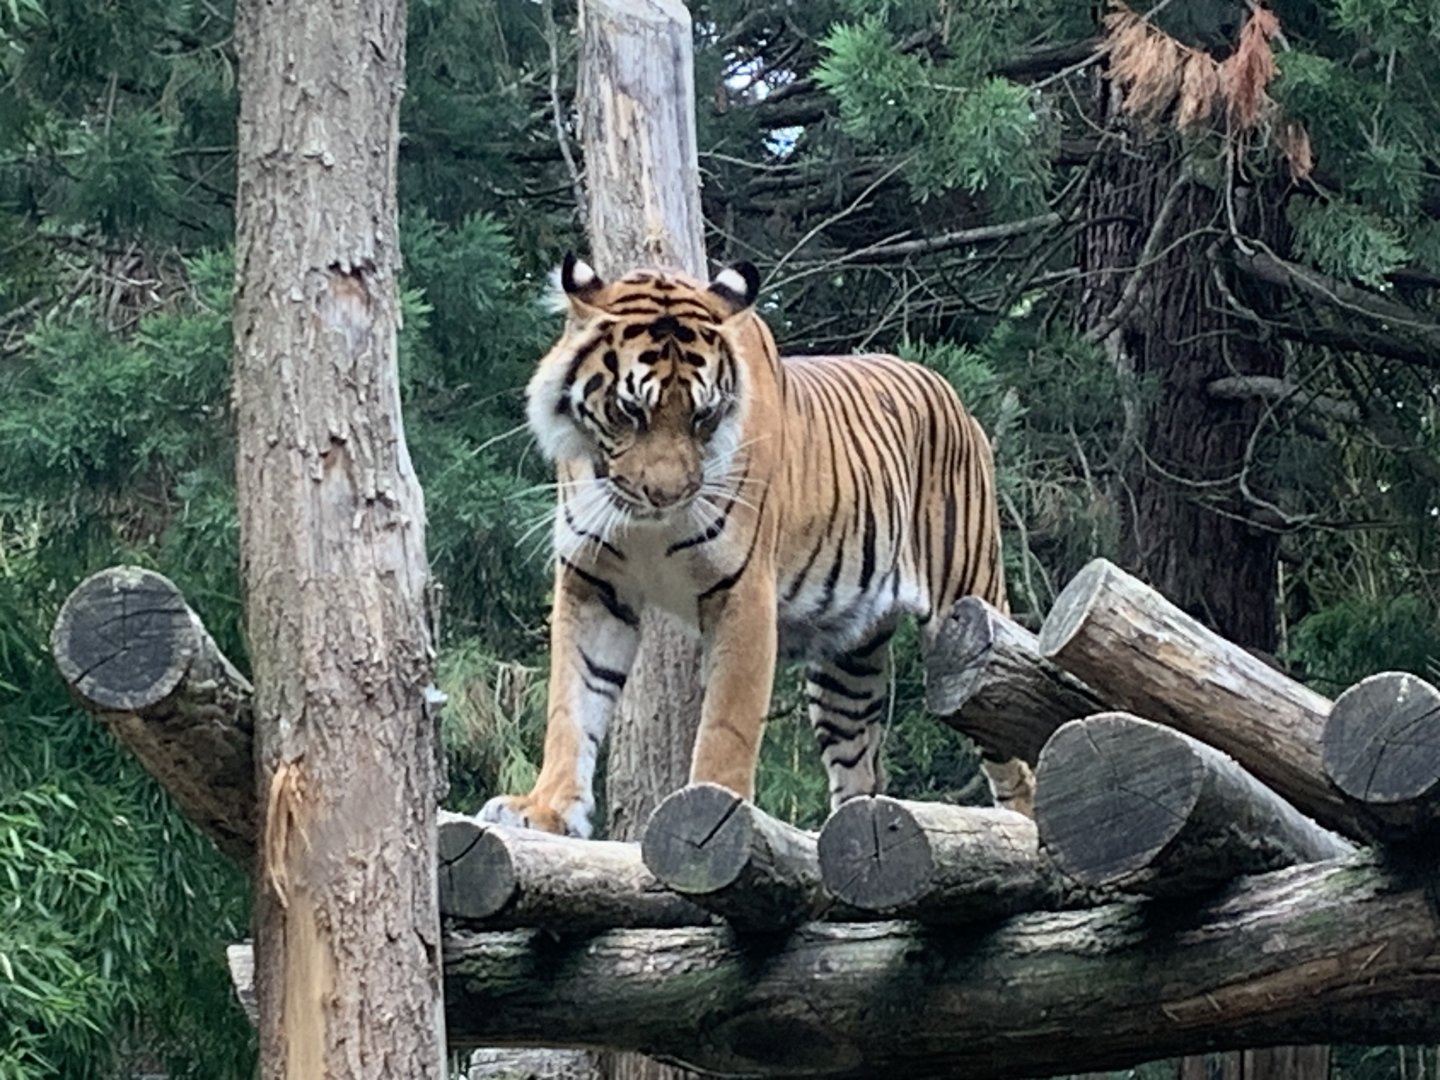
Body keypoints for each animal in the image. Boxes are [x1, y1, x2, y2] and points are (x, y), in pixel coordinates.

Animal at [478, 254, 1034, 838]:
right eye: (631, 411)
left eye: (702, 416)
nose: (666, 496)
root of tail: (956, 400)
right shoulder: (593, 583)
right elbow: (572, 705)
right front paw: (545, 810)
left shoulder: (742, 592)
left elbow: (728, 721)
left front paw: (713, 808)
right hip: (846, 669)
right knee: (861, 772)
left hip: (969, 622)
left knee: (1018, 746)